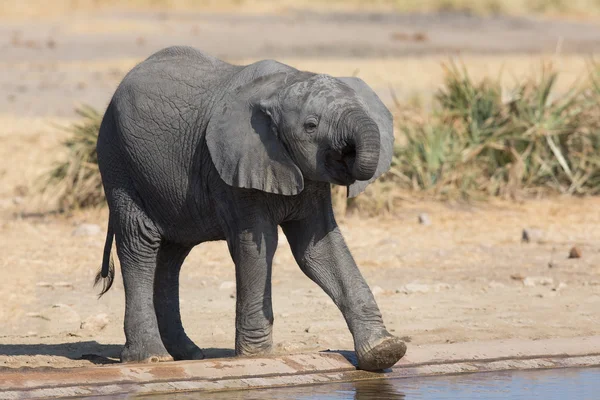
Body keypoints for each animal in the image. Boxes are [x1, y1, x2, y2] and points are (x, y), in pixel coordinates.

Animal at [96, 47, 408, 372]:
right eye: (311, 126)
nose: (349, 156)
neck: (284, 84)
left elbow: (320, 249)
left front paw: (385, 351)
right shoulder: (233, 168)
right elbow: (258, 246)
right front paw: (257, 357)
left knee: (172, 255)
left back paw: (188, 354)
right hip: (119, 161)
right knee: (141, 243)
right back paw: (151, 357)